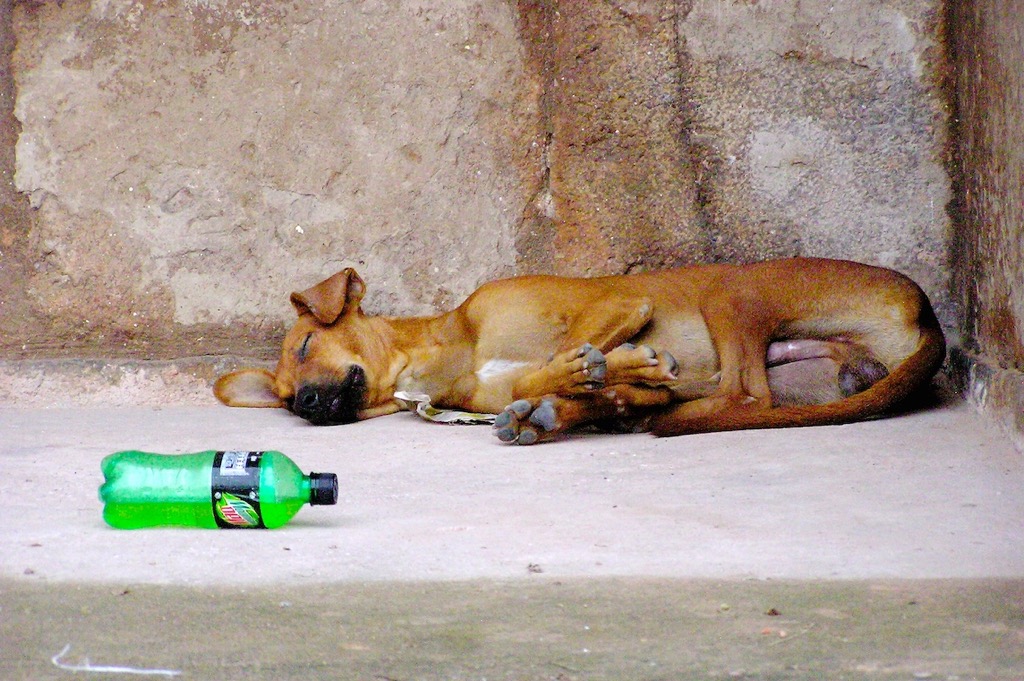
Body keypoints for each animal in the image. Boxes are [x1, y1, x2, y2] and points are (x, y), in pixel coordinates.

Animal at [214, 258, 942, 444]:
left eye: (307, 342)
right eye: (285, 399)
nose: (307, 405)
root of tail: (927, 317)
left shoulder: (622, 304)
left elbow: (571, 348)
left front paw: (603, 367)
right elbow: (533, 377)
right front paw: (588, 381)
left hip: (733, 291)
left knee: (742, 394)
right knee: (733, 397)